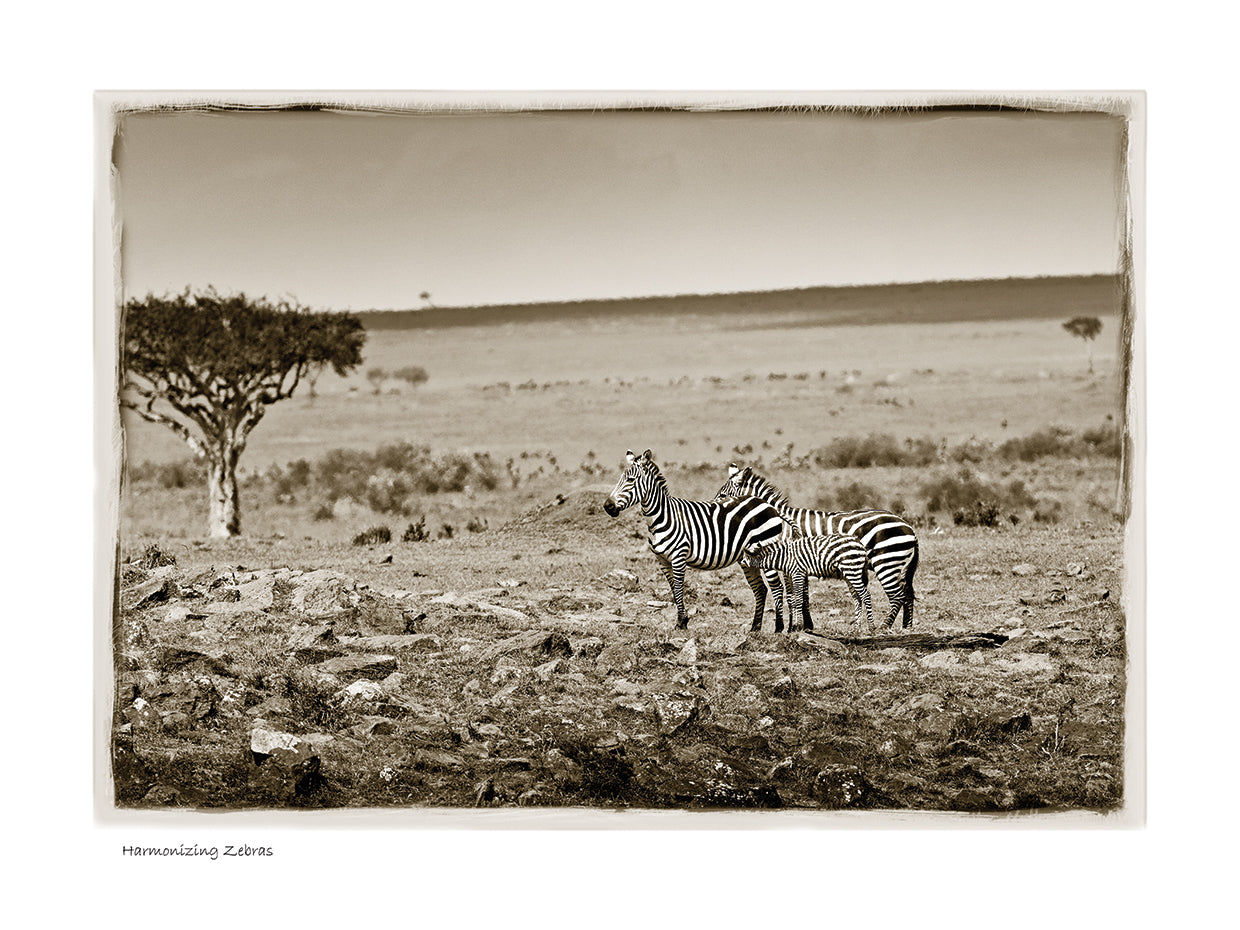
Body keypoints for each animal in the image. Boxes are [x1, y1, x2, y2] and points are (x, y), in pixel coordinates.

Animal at [603, 449, 797, 632]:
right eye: (620, 479)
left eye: (631, 480)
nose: (607, 506)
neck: (661, 517)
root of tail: (765, 503)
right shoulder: (662, 560)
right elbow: (673, 589)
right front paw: (681, 620)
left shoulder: (679, 557)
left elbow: (679, 588)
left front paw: (681, 622)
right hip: (747, 559)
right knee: (760, 588)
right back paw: (755, 628)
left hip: (767, 549)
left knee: (777, 587)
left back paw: (778, 628)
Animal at [740, 534, 874, 633]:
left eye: (745, 557)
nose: (741, 562)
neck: (784, 557)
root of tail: (860, 544)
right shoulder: (797, 575)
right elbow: (794, 599)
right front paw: (794, 627)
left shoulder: (798, 573)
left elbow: (798, 599)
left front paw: (797, 627)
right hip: (848, 574)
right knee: (857, 598)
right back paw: (856, 629)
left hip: (852, 570)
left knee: (865, 595)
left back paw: (871, 627)